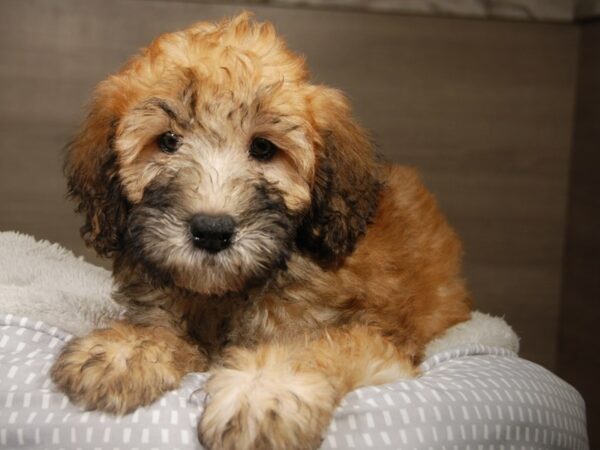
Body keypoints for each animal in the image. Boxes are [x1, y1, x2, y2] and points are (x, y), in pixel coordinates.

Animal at [50, 14, 474, 450]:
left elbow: (312, 346)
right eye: (168, 141)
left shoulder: (376, 337)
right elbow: (159, 328)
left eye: (264, 149)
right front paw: (125, 351)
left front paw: (263, 391)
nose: (212, 231)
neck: (226, 294)